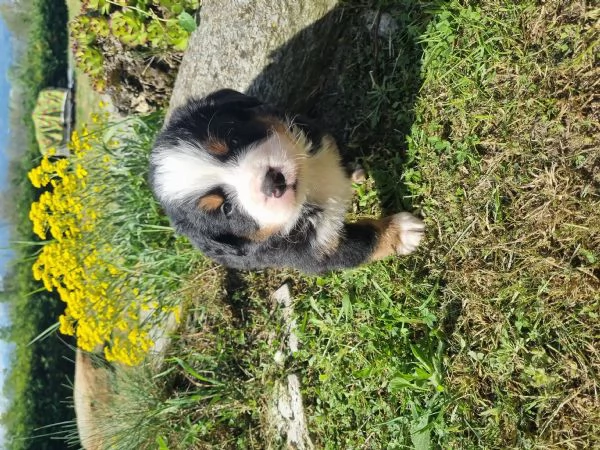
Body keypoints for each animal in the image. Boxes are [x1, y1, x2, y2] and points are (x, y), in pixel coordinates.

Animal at [148, 87, 424, 270]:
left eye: (233, 139)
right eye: (226, 208)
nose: (273, 182)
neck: (309, 183)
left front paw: (355, 173)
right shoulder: (316, 252)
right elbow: (364, 242)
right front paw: (401, 231)